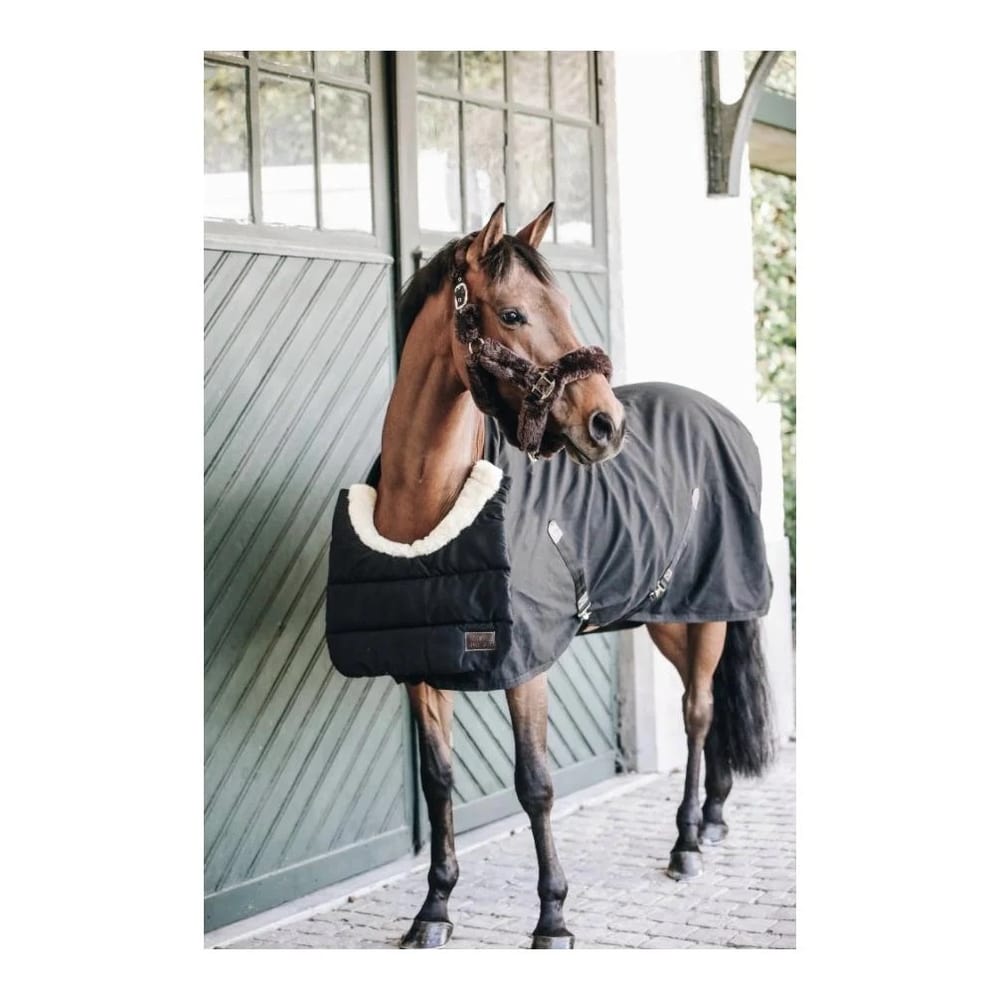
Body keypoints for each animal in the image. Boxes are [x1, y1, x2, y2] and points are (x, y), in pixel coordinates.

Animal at [325, 202, 775, 949]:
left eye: (562, 306)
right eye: (512, 314)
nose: (606, 424)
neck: (429, 503)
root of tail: (726, 418)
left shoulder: (526, 665)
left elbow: (534, 784)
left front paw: (553, 917)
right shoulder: (421, 665)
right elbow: (438, 781)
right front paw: (433, 909)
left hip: (709, 608)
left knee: (699, 712)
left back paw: (687, 842)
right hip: (663, 616)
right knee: (702, 708)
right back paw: (711, 820)